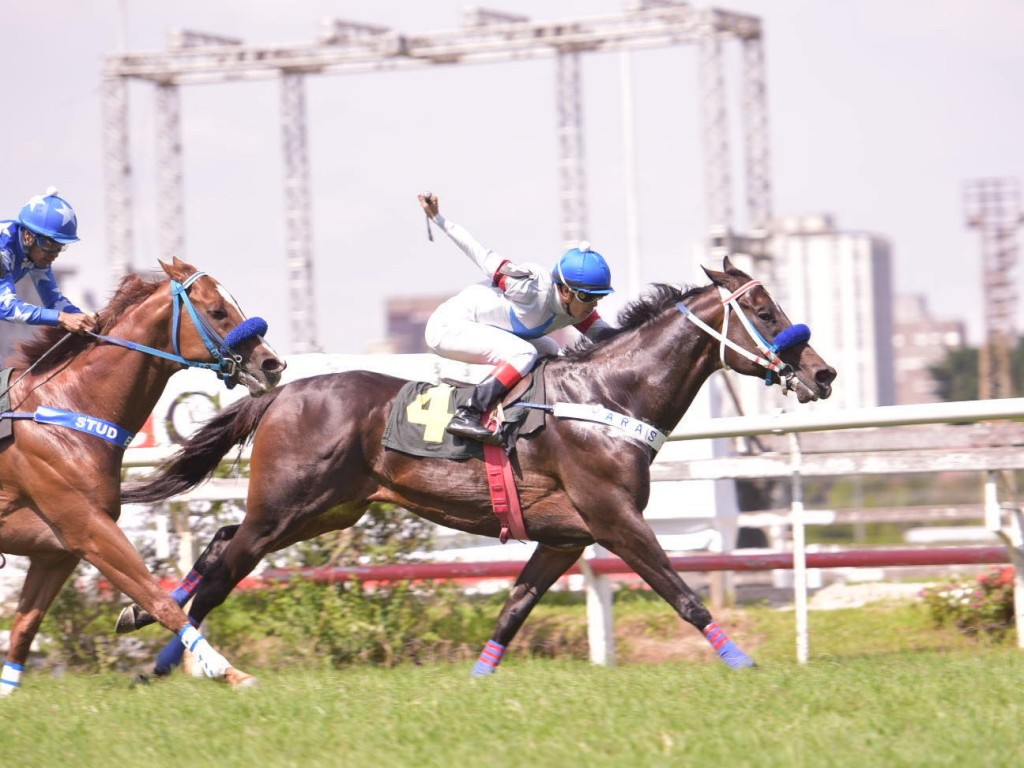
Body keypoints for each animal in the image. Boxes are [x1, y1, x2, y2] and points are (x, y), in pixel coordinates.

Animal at [0, 260, 284, 696]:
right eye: (218, 311)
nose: (272, 365)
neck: (63, 415)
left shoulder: (56, 552)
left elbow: (24, 627)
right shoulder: (90, 529)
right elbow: (157, 599)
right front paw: (229, 672)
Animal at [121, 260, 839, 679]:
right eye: (766, 311)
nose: (824, 373)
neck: (607, 397)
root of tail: (278, 391)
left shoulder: (564, 537)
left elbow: (514, 608)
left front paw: (479, 678)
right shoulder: (616, 519)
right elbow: (682, 592)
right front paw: (740, 659)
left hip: (324, 510)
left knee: (220, 545)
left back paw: (147, 621)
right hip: (286, 506)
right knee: (227, 565)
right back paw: (167, 657)